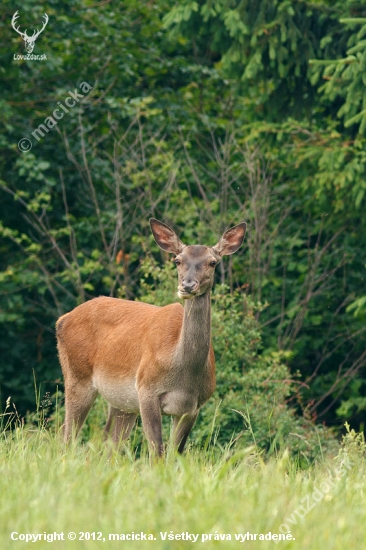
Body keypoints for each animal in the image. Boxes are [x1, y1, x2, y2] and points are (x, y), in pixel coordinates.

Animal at [56, 220, 246, 458]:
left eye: (212, 262)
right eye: (177, 260)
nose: (187, 285)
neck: (182, 369)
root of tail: (62, 320)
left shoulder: (193, 407)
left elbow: (175, 454)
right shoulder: (147, 390)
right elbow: (157, 452)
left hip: (122, 403)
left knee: (108, 442)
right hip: (77, 376)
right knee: (67, 435)